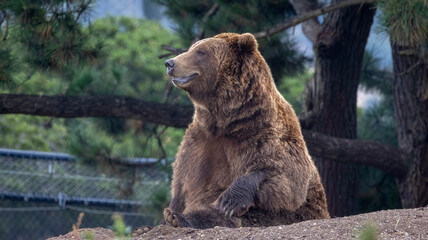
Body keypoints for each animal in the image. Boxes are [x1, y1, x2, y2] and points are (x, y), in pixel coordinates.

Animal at [162, 32, 330, 229]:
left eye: (200, 52)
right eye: (191, 48)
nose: (170, 63)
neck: (227, 120)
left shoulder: (262, 135)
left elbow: (285, 176)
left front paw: (229, 201)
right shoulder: (199, 142)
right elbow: (183, 181)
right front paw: (172, 210)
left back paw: (182, 218)